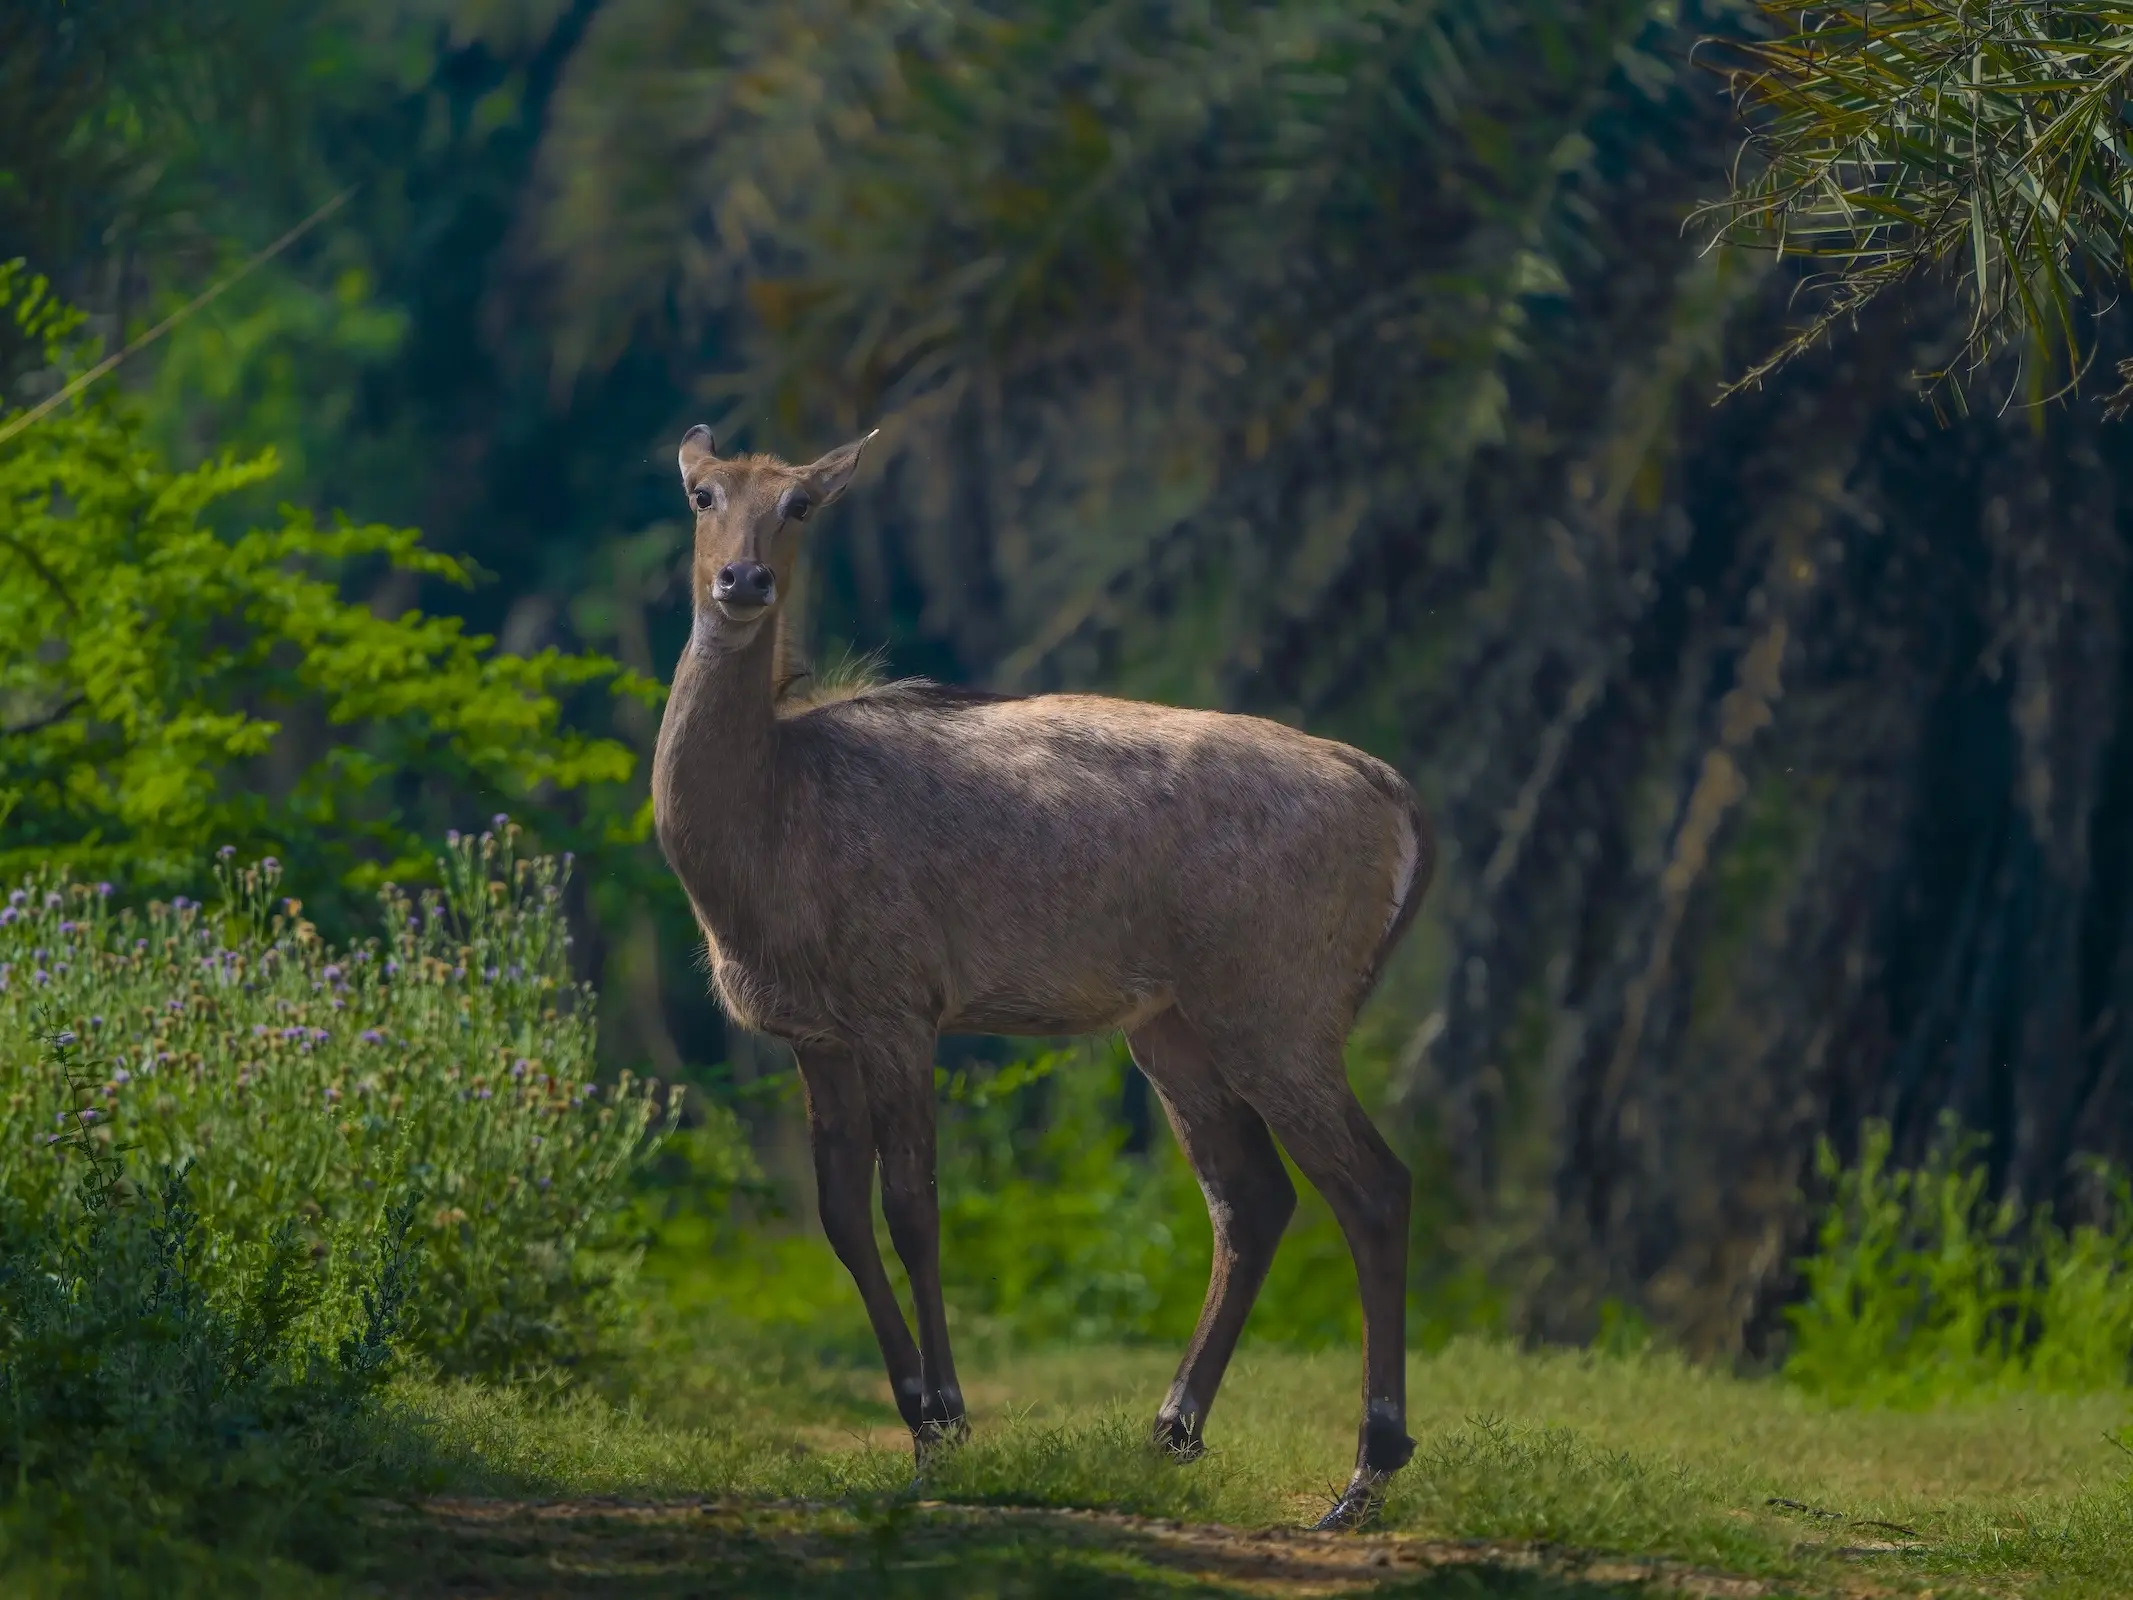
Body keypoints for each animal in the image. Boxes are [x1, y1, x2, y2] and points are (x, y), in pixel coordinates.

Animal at [652, 422, 1433, 1527]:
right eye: (703, 493)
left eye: (800, 503)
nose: (744, 579)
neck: (768, 820)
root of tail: (1396, 794)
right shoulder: (815, 1036)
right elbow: (842, 1217)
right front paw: (918, 1410)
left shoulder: (900, 1008)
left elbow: (914, 1208)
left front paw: (945, 1428)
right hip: (1172, 1028)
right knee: (1252, 1198)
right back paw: (1170, 1432)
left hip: (1277, 1013)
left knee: (1372, 1186)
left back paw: (1363, 1474)